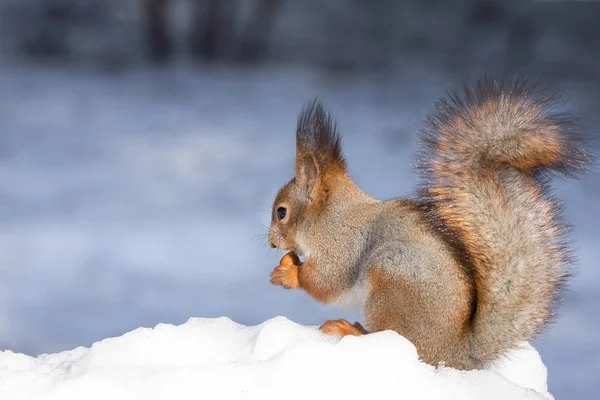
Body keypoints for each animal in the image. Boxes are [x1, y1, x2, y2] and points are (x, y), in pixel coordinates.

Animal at [268, 76, 596, 370]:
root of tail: (454, 353)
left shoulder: (340, 244)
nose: (271, 242)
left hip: (392, 278)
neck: (327, 215)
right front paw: (288, 262)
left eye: (282, 212)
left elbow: (325, 281)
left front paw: (288, 274)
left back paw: (349, 330)